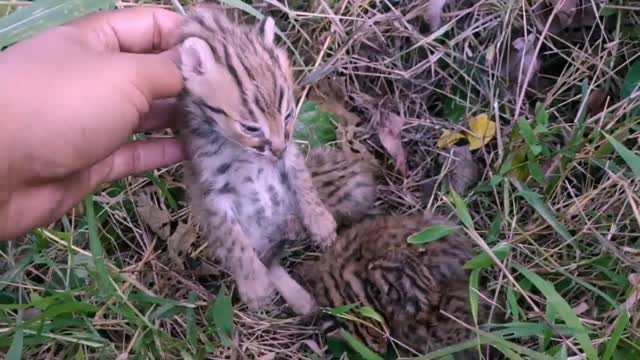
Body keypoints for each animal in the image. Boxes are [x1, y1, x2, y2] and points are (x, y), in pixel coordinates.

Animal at [178, 6, 378, 316]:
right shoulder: (212, 190)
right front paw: (254, 285)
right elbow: (233, 239)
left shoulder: (292, 154)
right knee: (266, 260)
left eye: (287, 114)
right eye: (250, 128)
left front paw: (321, 223)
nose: (277, 148)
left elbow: (304, 183)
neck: (244, 153)